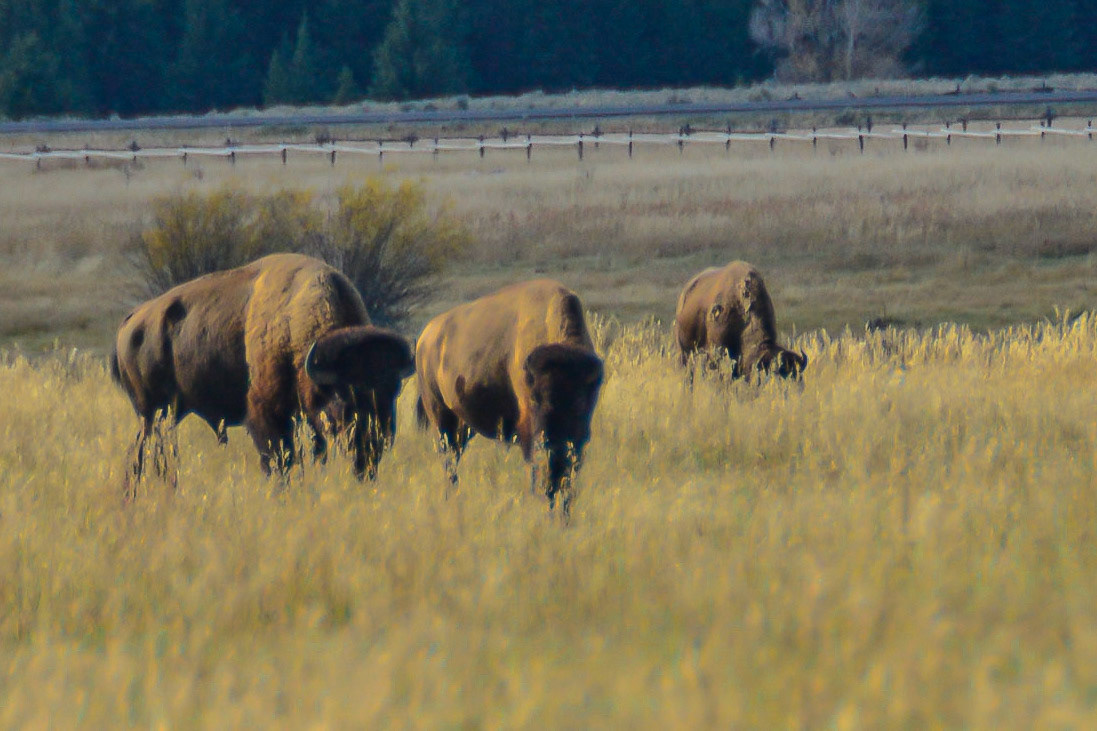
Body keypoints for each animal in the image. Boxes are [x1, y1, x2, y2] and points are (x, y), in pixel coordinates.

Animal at [111, 253, 413, 494]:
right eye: (343, 395)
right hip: (152, 413)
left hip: (165, 414)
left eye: (394, 390)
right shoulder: (266, 414)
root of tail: (132, 320)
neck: (293, 322)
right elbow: (280, 460)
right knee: (143, 454)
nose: (375, 440)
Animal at [415, 279, 603, 514]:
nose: (554, 444)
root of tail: (425, 337)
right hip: (440, 417)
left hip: (463, 426)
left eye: (582, 402)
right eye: (534, 399)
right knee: (449, 461)